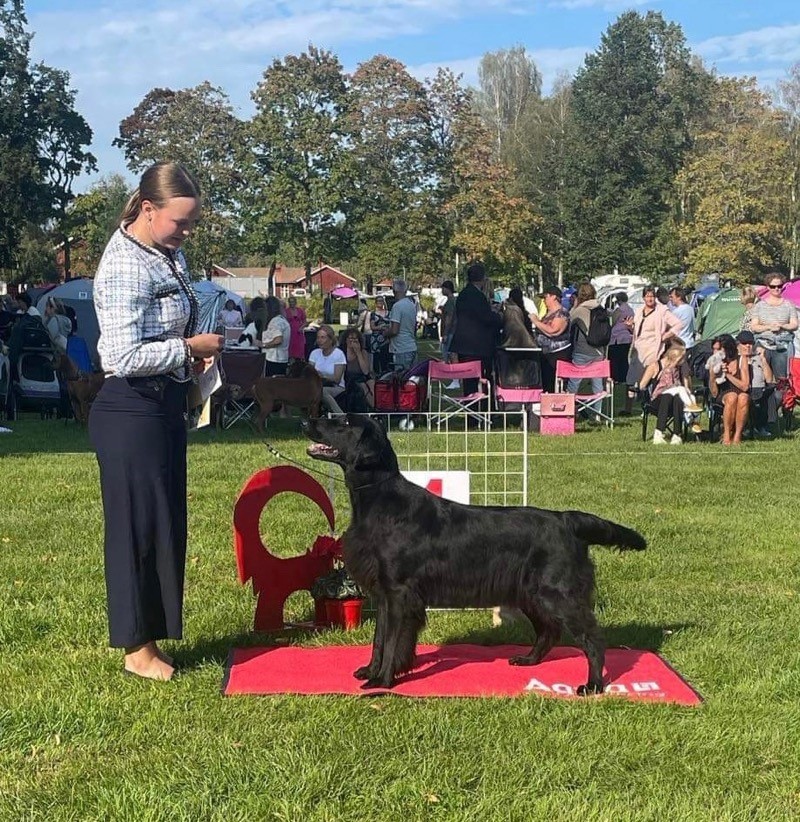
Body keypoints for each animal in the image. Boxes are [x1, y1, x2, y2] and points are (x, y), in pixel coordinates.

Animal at [304, 418, 648, 696]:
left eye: (343, 422)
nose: (308, 419)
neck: (380, 500)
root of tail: (566, 519)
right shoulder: (385, 594)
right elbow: (378, 640)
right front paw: (371, 670)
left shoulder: (400, 593)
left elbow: (391, 642)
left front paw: (383, 681)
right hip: (530, 594)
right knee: (549, 631)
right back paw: (528, 659)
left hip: (557, 594)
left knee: (592, 638)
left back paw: (593, 685)